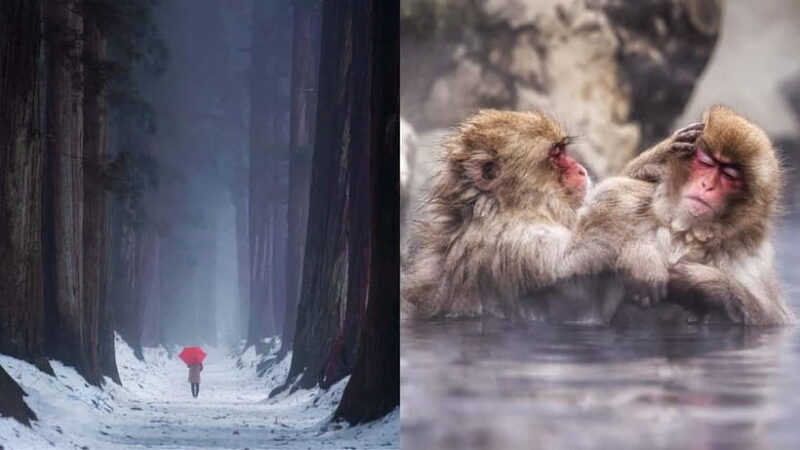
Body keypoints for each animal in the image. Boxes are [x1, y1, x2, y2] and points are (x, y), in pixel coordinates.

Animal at [566, 106, 795, 325]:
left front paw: (702, 280)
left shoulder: (752, 256)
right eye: (707, 163)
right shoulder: (615, 197)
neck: (684, 229)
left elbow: (774, 319)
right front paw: (642, 257)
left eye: (729, 175)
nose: (707, 185)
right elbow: (570, 265)